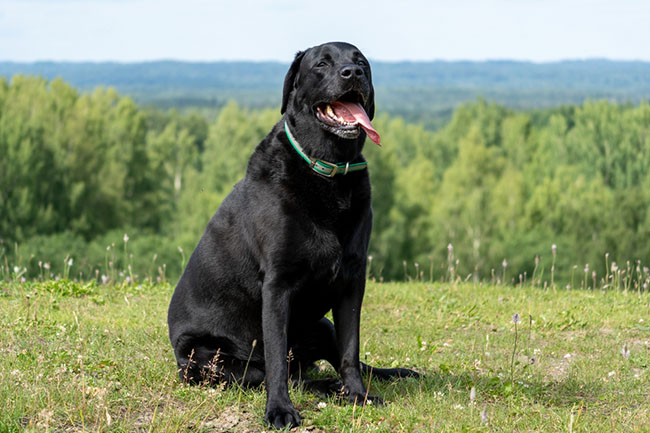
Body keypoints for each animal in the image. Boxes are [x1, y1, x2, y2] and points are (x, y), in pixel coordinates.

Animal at [168, 41, 416, 428]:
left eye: (361, 61)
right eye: (322, 64)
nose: (353, 73)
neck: (328, 170)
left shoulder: (352, 281)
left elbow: (351, 350)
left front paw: (358, 396)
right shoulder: (277, 286)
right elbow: (275, 361)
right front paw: (280, 410)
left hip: (322, 324)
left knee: (336, 363)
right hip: (211, 359)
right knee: (281, 373)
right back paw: (323, 385)